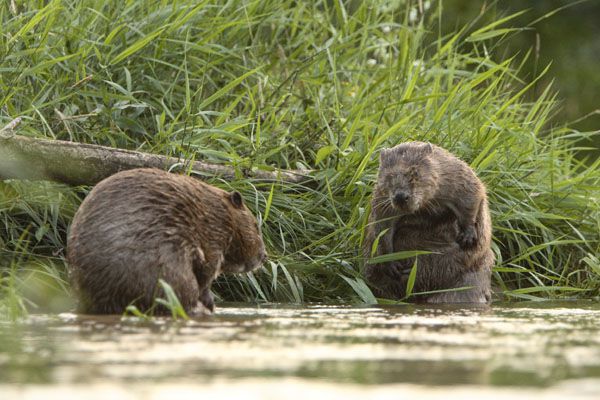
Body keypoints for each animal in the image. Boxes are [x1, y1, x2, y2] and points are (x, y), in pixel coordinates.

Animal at [65, 167, 268, 314]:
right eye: (256, 226)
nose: (264, 255)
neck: (218, 210)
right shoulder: (214, 238)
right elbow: (205, 274)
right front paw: (210, 303)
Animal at [364, 142, 494, 302]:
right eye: (389, 176)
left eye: (414, 172)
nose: (400, 197)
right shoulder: (381, 201)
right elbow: (381, 228)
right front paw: (392, 266)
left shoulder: (454, 174)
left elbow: (472, 194)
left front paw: (467, 237)